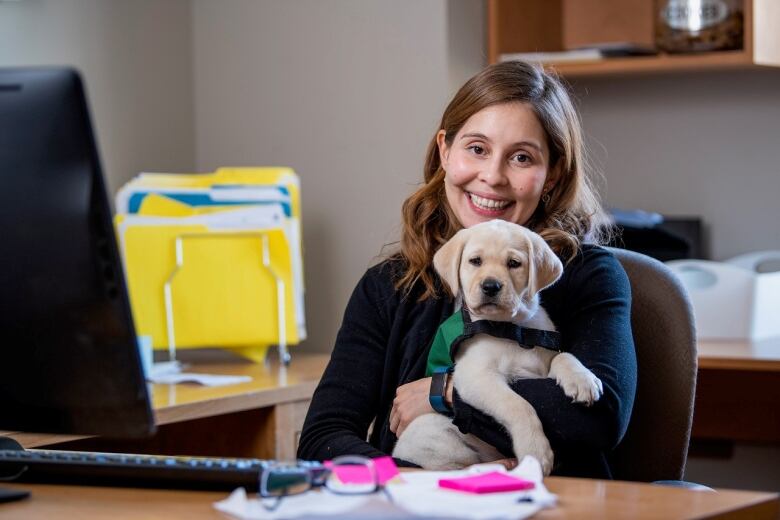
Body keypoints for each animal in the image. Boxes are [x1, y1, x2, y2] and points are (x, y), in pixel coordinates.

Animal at [396, 219, 604, 476]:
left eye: (514, 263)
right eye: (475, 261)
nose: (490, 286)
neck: (511, 330)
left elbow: (563, 356)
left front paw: (582, 379)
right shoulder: (476, 377)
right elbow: (519, 405)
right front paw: (536, 451)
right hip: (432, 431)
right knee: (451, 465)